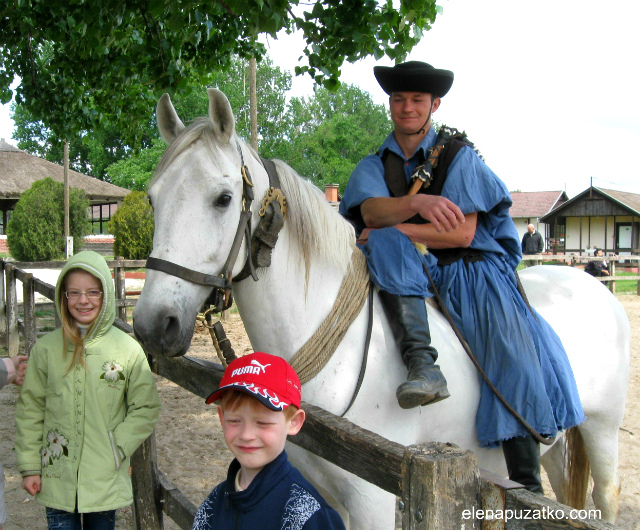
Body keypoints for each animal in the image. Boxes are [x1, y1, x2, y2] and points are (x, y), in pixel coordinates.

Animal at [134, 87, 632, 524]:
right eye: (153, 200)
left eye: (223, 199)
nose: (153, 325)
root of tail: (592, 284)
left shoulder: (375, 504)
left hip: (601, 428)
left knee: (604, 497)